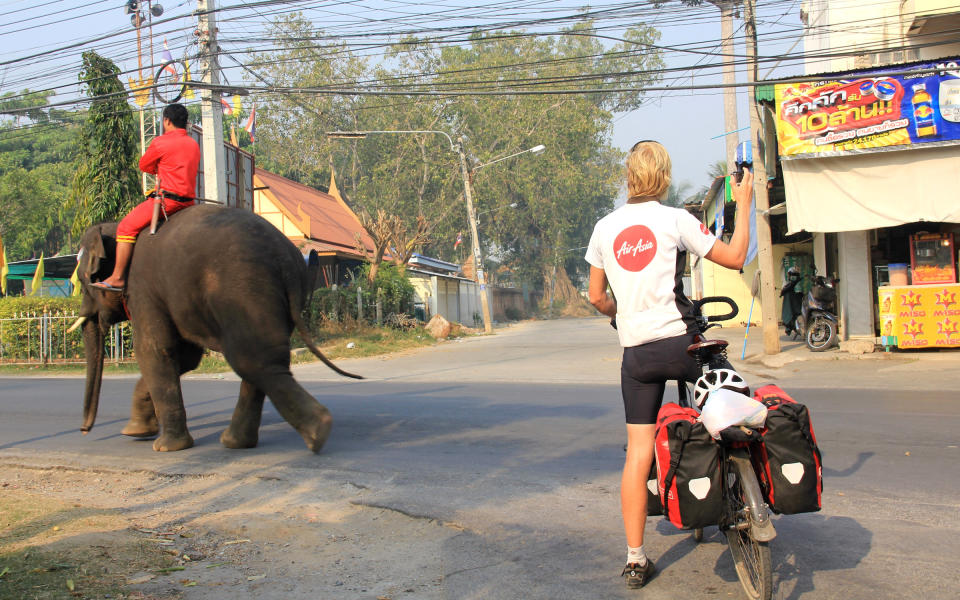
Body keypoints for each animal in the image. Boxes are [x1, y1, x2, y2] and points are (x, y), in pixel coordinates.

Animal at [73, 204, 362, 452]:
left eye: (82, 282)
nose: (84, 430)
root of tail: (287, 260)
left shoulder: (142, 289)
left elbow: (154, 350)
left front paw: (165, 447)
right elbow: (186, 357)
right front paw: (136, 432)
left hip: (243, 292)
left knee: (253, 361)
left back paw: (318, 431)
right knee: (260, 360)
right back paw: (239, 442)